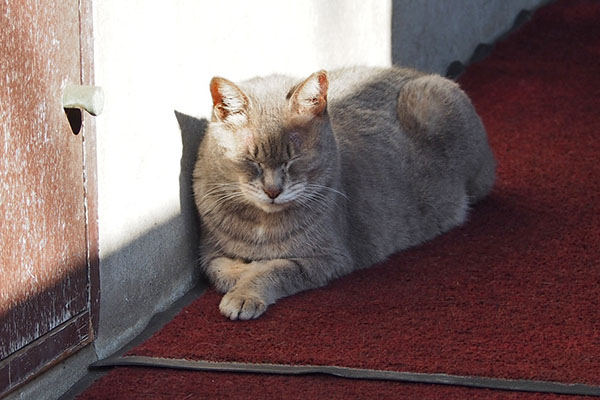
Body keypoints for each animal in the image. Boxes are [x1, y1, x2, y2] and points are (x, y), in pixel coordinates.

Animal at [195, 67, 494, 320]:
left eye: (293, 160)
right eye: (250, 161)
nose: (273, 190)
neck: (263, 224)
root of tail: (419, 74)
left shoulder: (330, 257)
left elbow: (278, 269)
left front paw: (247, 290)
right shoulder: (208, 251)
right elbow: (220, 269)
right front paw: (243, 273)